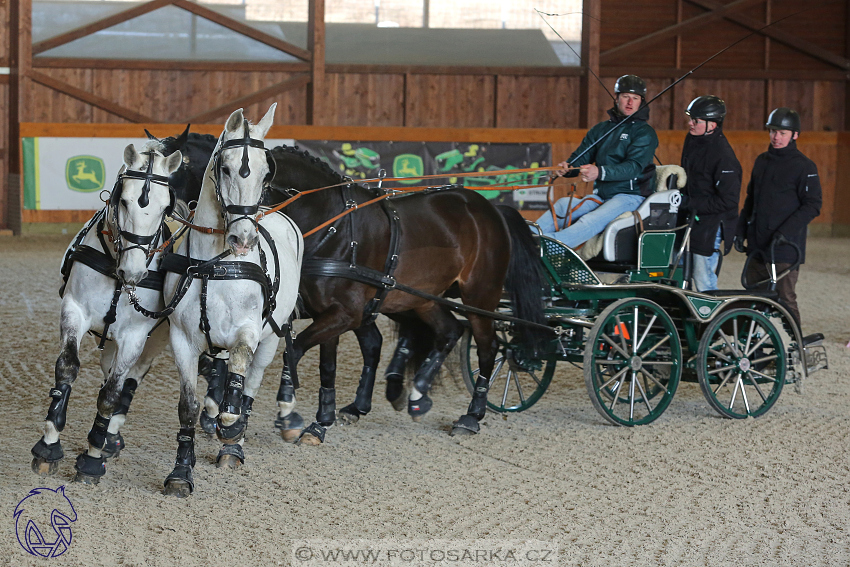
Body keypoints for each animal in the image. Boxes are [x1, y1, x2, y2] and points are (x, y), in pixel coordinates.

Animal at [31, 142, 182, 484]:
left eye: (164, 207)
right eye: (123, 200)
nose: (134, 273)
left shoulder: (135, 336)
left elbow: (112, 394)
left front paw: (91, 457)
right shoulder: (74, 309)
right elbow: (67, 368)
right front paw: (49, 443)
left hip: (155, 339)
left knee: (130, 379)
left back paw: (108, 437)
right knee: (107, 369)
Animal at [161, 105, 304, 496]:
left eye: (266, 172)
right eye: (225, 168)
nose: (244, 238)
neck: (217, 263)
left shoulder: (249, 332)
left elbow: (238, 377)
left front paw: (230, 427)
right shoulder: (182, 339)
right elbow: (188, 406)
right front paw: (181, 471)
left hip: (271, 338)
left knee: (251, 385)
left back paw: (233, 444)